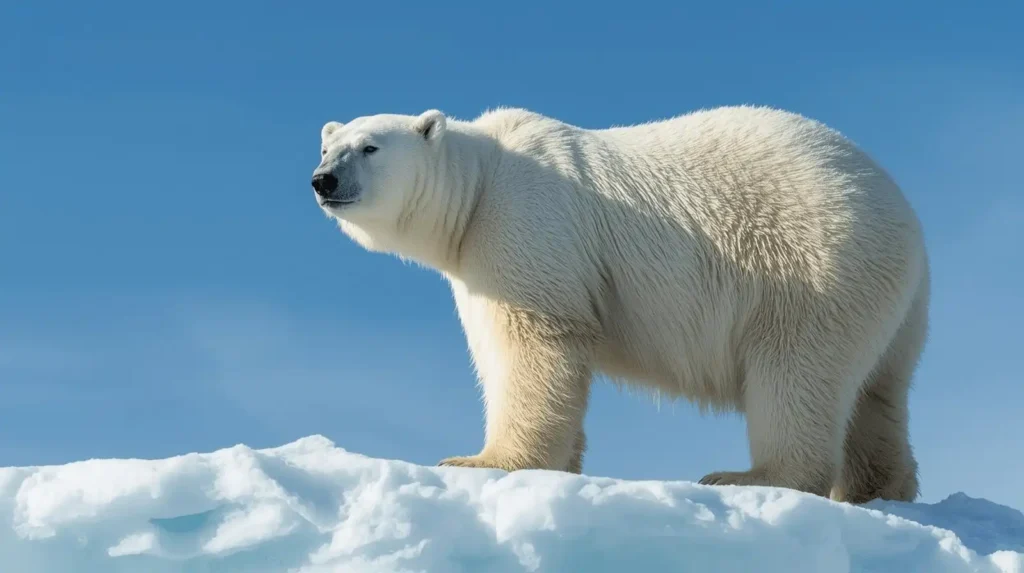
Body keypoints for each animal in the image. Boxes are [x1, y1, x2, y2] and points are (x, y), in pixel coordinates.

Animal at [309, 105, 929, 504]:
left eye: (369, 147)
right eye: (325, 146)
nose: (324, 180)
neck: (481, 182)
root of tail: (907, 219)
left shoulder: (524, 222)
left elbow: (534, 341)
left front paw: (481, 461)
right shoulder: (477, 264)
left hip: (811, 267)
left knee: (794, 372)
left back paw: (749, 476)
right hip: (889, 304)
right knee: (877, 391)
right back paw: (876, 489)